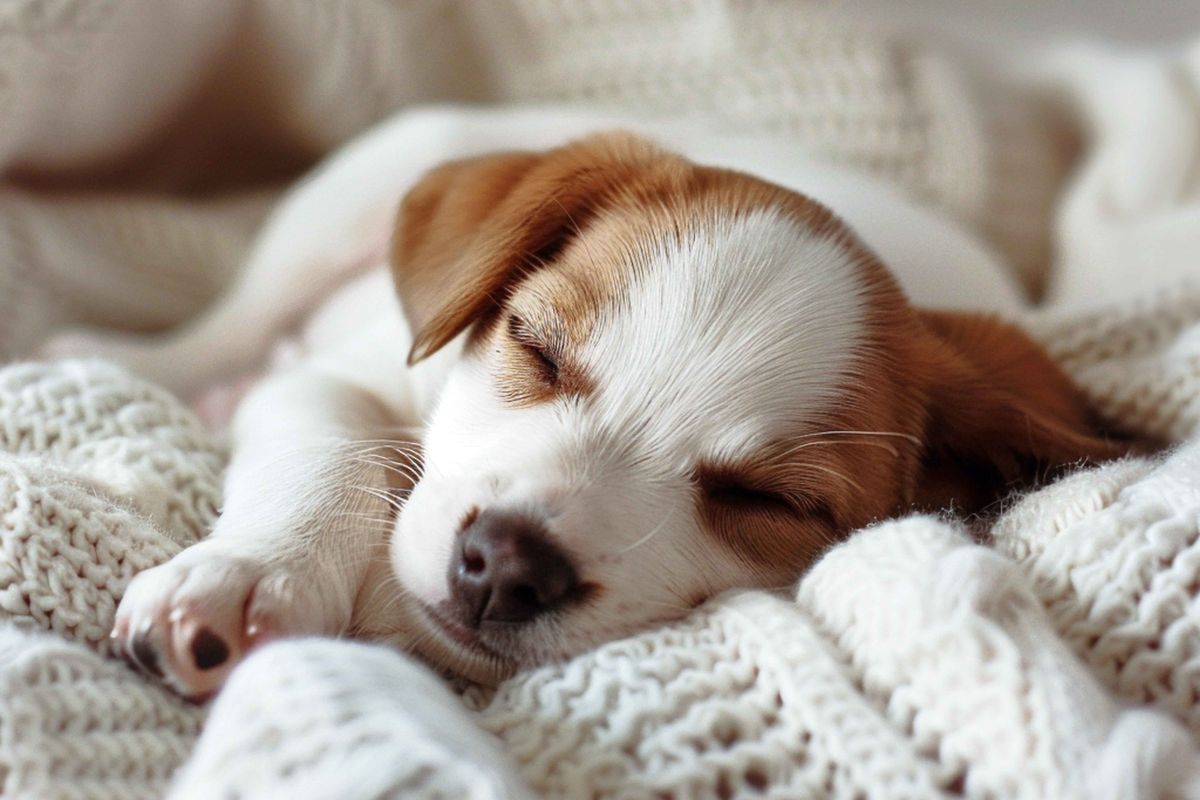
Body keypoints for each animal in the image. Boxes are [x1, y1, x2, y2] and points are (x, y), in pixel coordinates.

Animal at [39, 107, 1123, 700]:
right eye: (535, 346)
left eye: (770, 500)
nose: (506, 567)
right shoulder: (335, 378)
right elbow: (332, 457)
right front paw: (252, 574)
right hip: (345, 198)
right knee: (222, 326)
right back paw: (126, 353)